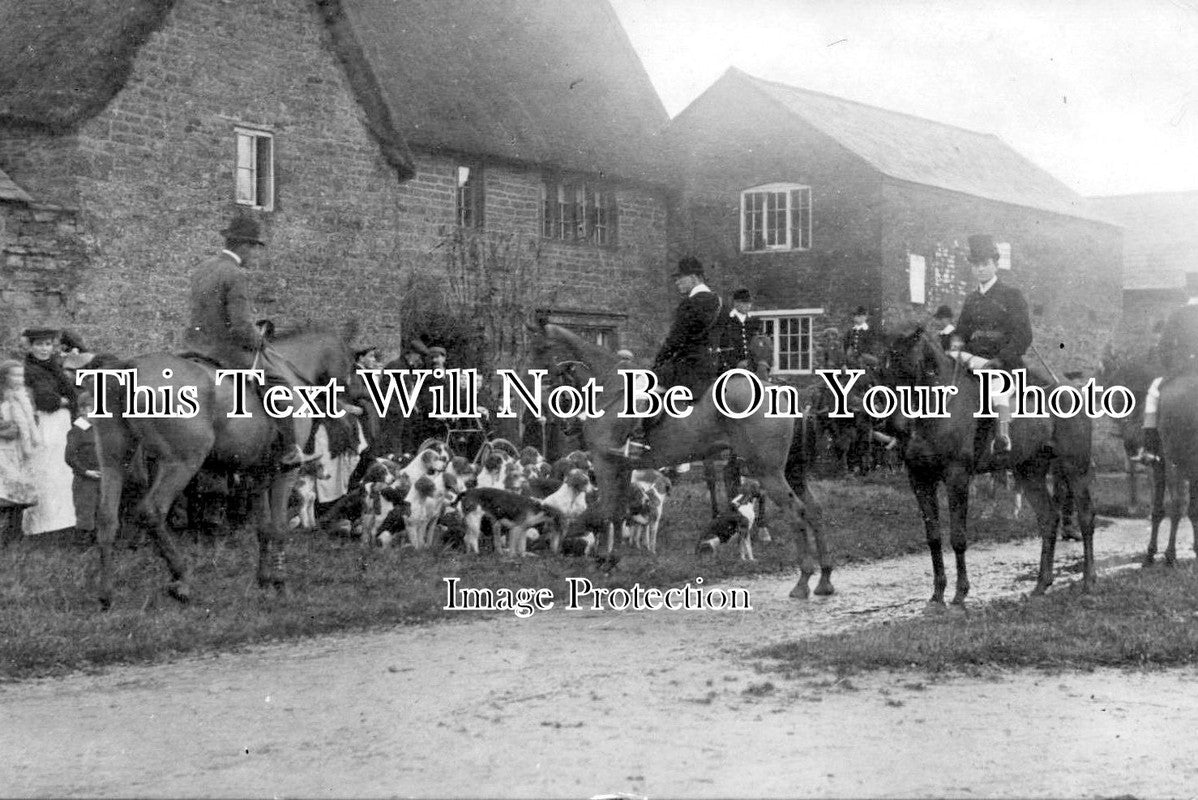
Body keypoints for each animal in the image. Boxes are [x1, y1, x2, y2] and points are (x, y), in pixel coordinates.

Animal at [91, 320, 357, 608]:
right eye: (353, 364)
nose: (354, 409)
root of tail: (128, 366)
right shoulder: (284, 472)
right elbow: (278, 528)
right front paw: (280, 583)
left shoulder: (258, 474)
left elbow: (263, 528)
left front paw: (264, 579)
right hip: (182, 462)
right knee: (152, 511)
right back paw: (182, 579)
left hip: (114, 458)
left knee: (107, 518)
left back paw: (106, 594)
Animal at [527, 320, 833, 596]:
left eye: (540, 348)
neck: (611, 385)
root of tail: (781, 390)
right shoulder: (622, 466)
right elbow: (617, 513)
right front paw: (611, 560)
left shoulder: (605, 463)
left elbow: (605, 513)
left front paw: (602, 560)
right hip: (792, 471)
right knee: (815, 510)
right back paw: (825, 579)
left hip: (767, 470)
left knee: (797, 512)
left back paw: (803, 581)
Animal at [881, 320, 1097, 603]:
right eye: (883, 369)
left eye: (907, 367)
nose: (894, 426)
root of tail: (1073, 389)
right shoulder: (919, 478)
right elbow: (933, 537)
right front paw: (937, 595)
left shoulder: (957, 477)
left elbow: (958, 537)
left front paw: (960, 594)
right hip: (1029, 471)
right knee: (1048, 519)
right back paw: (1041, 584)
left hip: (1075, 467)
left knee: (1086, 518)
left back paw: (1089, 580)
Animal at [1140, 371, 1198, 565]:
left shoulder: (1161, 464)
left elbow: (1159, 508)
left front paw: (1152, 552)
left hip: (1172, 463)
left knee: (1176, 505)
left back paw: (1168, 554)